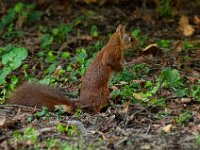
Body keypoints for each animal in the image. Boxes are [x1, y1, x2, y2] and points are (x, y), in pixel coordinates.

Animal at [7, 24, 136, 113]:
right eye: (131, 39)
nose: (137, 44)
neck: (115, 43)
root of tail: (82, 102)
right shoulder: (112, 53)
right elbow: (109, 62)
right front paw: (120, 69)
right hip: (102, 93)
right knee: (95, 107)